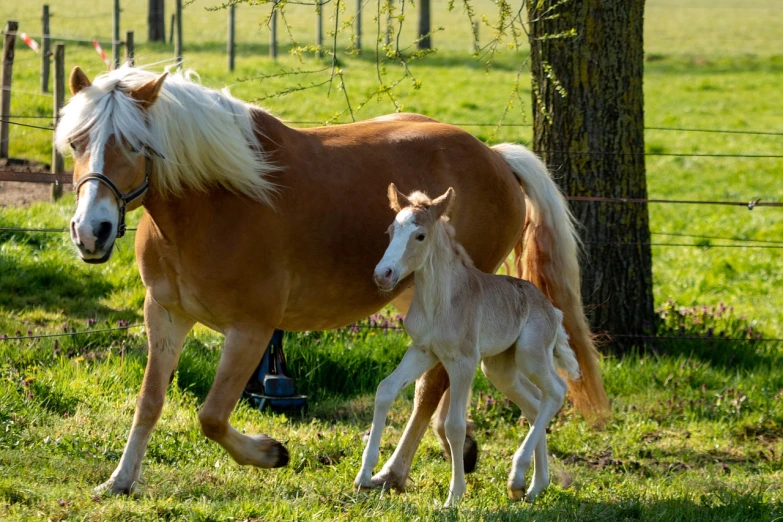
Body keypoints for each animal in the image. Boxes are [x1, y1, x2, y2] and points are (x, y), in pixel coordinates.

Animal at [356, 184, 580, 504]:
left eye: (420, 235)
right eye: (390, 231)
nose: (382, 274)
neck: (440, 301)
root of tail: (553, 310)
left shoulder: (462, 362)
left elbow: (454, 425)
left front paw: (454, 496)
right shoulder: (422, 351)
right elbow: (385, 389)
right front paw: (364, 477)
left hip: (530, 355)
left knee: (556, 392)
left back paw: (519, 475)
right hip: (499, 367)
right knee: (536, 402)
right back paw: (532, 485)